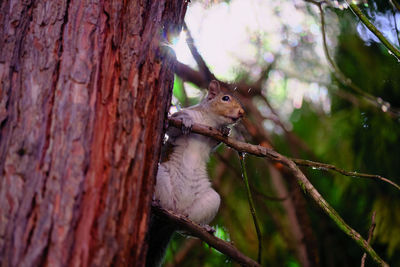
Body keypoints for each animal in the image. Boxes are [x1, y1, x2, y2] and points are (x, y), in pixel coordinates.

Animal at [145, 80, 242, 266]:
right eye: (225, 98)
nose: (242, 113)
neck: (208, 119)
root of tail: (174, 213)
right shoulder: (178, 122)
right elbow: (174, 128)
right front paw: (187, 121)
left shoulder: (211, 140)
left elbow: (216, 142)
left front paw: (226, 131)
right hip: (161, 176)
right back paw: (155, 201)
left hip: (209, 202)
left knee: (185, 228)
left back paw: (204, 228)